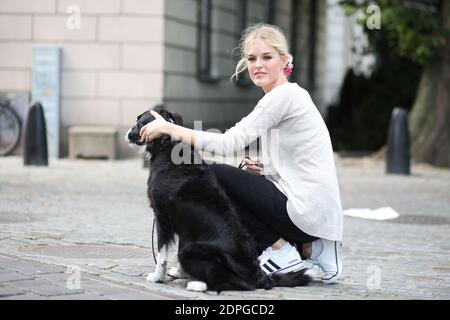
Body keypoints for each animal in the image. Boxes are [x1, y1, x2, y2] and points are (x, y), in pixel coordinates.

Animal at [125, 105, 312, 292]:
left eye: (139, 122)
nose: (127, 134)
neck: (167, 144)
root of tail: (259, 277)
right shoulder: (184, 223)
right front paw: (179, 272)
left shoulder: (162, 216)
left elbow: (161, 252)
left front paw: (157, 277)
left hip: (192, 251)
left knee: (234, 282)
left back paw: (198, 284)